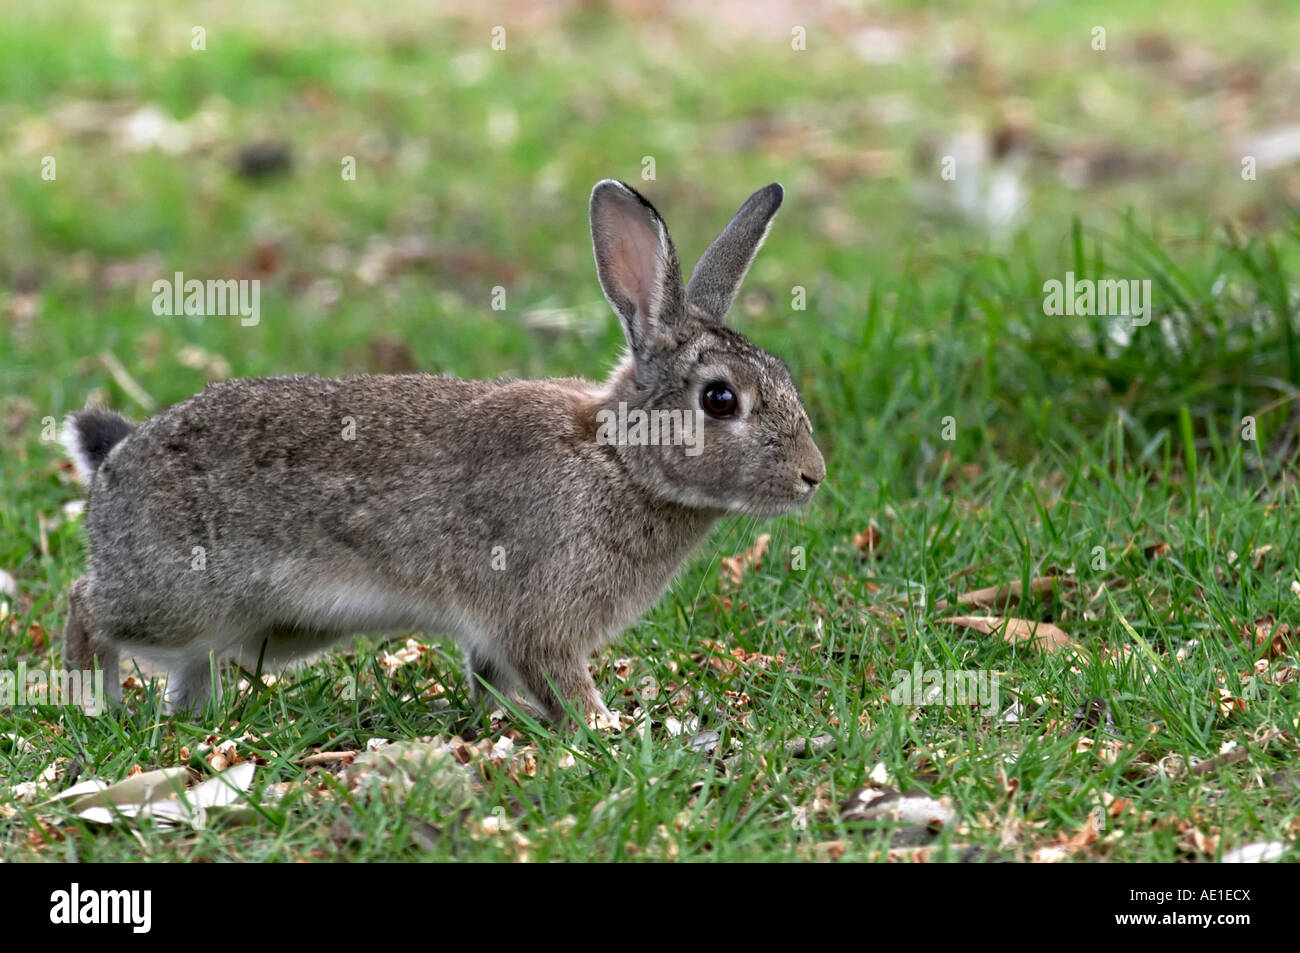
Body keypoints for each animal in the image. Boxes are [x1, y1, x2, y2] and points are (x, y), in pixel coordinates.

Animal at [60, 179, 826, 723]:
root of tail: (116, 461)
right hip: (176, 591)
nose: (812, 476)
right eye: (720, 399)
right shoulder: (539, 619)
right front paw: (604, 729)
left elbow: (492, 679)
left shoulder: (495, 636)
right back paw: (86, 701)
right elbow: (559, 680)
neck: (618, 460)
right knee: (86, 606)